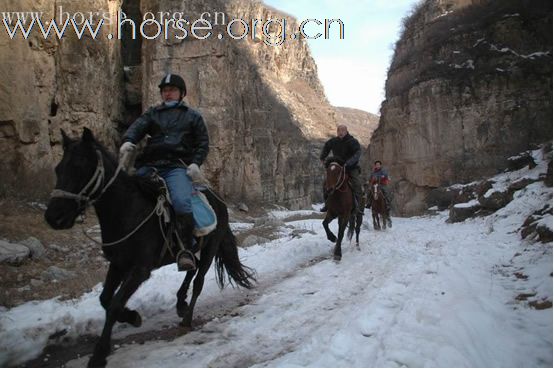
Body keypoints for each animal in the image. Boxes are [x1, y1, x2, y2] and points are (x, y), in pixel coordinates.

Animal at [44, 129, 256, 366]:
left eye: (80, 167)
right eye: (58, 168)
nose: (53, 217)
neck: (127, 211)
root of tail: (218, 201)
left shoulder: (140, 270)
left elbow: (115, 304)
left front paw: (100, 354)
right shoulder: (118, 264)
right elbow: (105, 299)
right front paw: (132, 317)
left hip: (211, 248)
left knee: (198, 281)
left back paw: (187, 318)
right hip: (191, 250)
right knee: (190, 268)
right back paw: (180, 302)